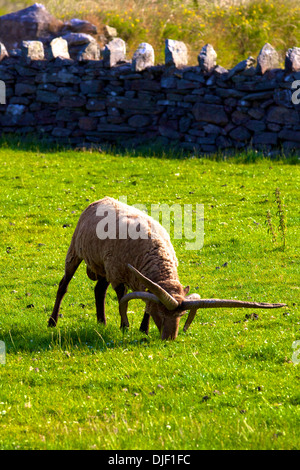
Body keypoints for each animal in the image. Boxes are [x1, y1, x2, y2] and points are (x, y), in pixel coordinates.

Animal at [48, 196, 286, 340]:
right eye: (163, 313)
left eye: (182, 315)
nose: (170, 338)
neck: (156, 256)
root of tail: (102, 199)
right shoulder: (118, 273)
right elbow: (124, 299)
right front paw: (125, 327)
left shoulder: (141, 281)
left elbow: (146, 302)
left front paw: (143, 330)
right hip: (76, 252)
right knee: (63, 286)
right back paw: (52, 321)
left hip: (102, 265)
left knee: (99, 290)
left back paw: (101, 321)